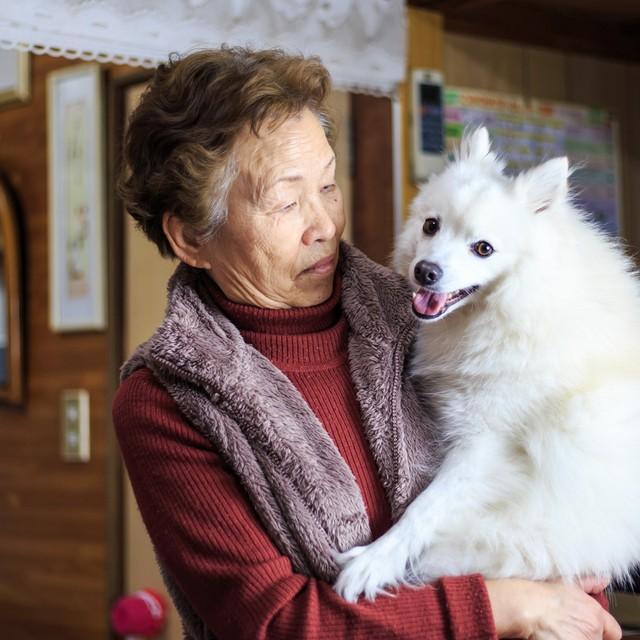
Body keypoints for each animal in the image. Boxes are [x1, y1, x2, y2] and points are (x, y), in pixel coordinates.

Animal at [336, 129, 640, 600]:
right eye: (431, 225)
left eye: (483, 249)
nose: (426, 271)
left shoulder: (485, 444)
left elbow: (424, 508)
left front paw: (374, 561)